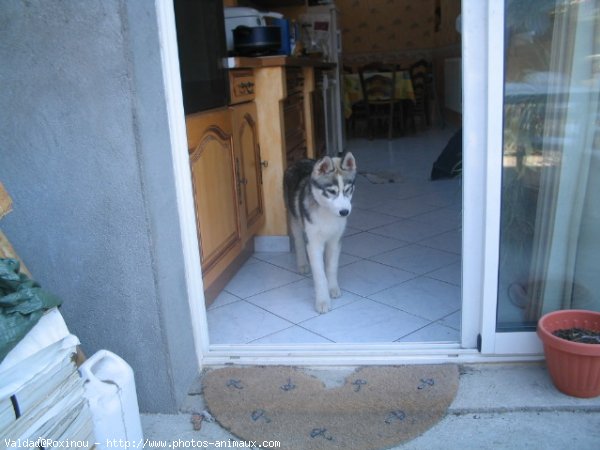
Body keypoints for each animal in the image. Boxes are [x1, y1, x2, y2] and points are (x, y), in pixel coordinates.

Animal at [282, 151, 356, 312]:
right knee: (299, 241)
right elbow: (319, 275)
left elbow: (331, 267)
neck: (327, 213)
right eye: (331, 191)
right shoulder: (314, 243)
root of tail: (301, 159)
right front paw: (322, 301)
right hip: (294, 218)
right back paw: (303, 264)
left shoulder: (335, 241)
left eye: (348, 190)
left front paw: (333, 288)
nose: (344, 212)